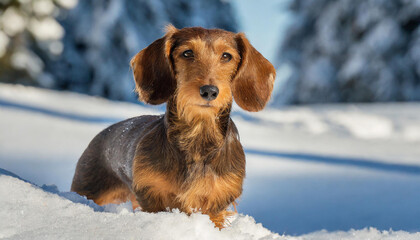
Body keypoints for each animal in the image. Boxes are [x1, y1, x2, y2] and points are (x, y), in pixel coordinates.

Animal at [71, 24, 276, 229]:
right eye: (187, 53)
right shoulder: (151, 193)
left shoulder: (217, 199)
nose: (209, 91)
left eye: (226, 56)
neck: (196, 139)